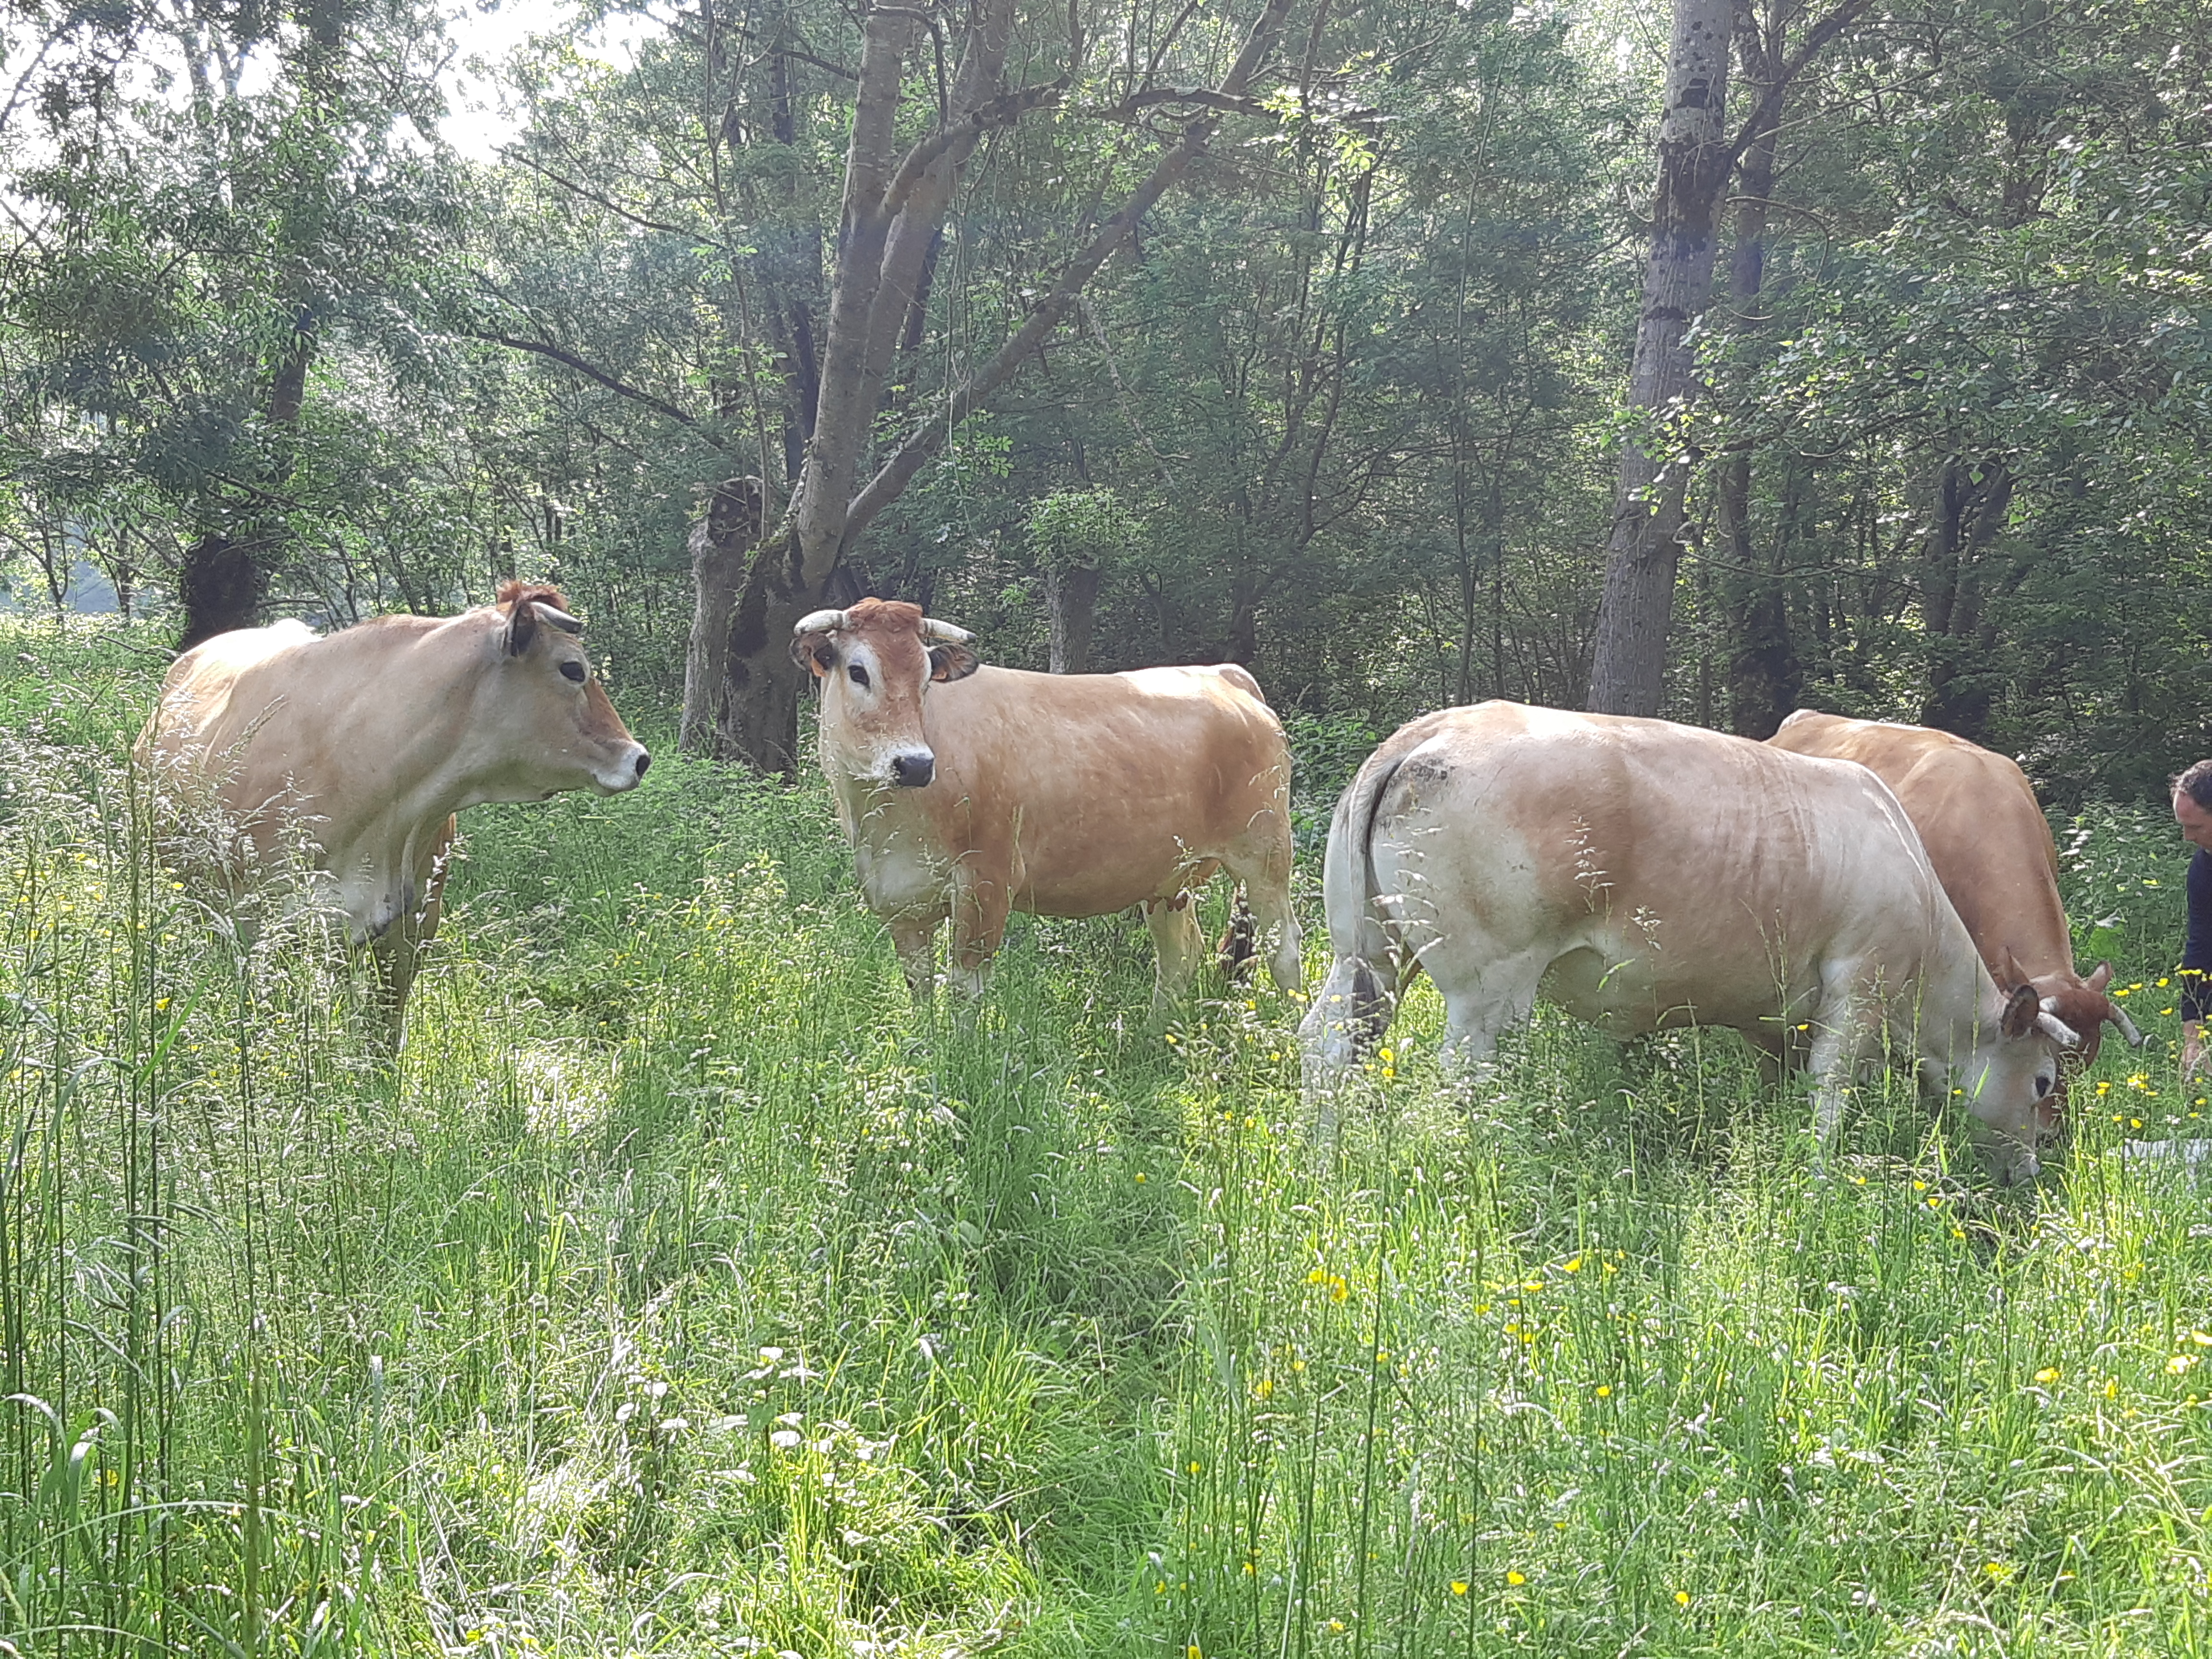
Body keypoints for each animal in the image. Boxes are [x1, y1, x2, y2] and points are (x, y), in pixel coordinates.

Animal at [792, 597, 1292, 1013]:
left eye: (925, 679)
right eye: (858, 672)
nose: (914, 764)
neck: (888, 819)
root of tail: (1226, 674)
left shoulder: (987, 882)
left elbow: (964, 987)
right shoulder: (898, 899)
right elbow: (921, 989)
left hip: (1265, 854)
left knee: (1283, 947)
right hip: (1170, 878)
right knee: (1179, 955)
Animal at [1292, 703, 2070, 1185]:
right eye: (2042, 1082)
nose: (2030, 1172)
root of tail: (1429, 731)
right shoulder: (1859, 984)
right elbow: (1830, 1091)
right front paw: (1818, 1178)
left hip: (1368, 954)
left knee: (1329, 1046)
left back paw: (1326, 1158)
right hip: (1490, 985)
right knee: (1463, 1077)